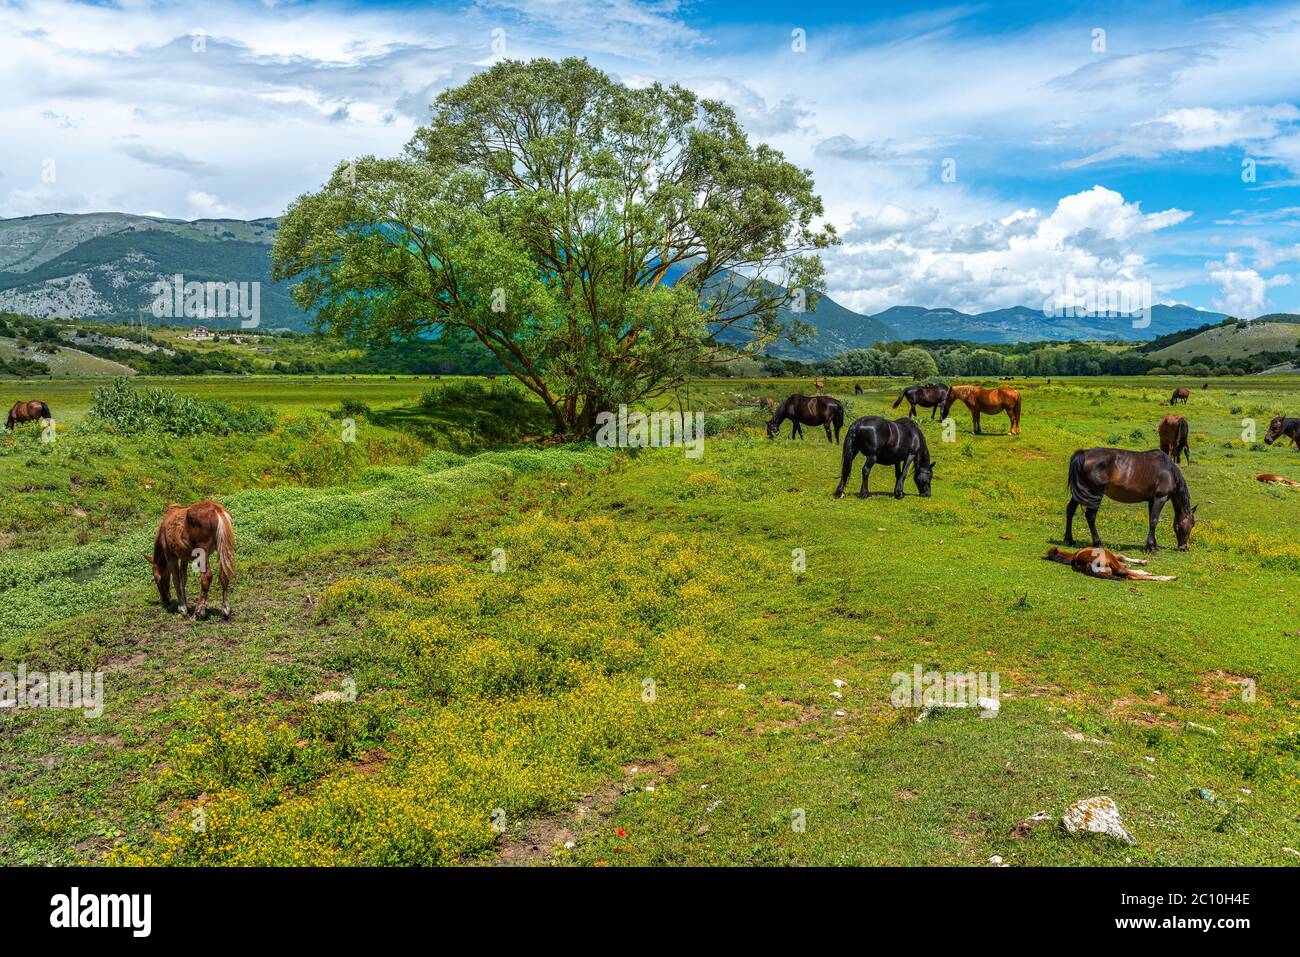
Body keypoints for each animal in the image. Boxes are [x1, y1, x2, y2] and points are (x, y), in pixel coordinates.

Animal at [1045, 546, 1180, 582]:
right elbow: (1122, 557)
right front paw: (1143, 563)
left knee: (1133, 575)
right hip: (1109, 556)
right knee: (1127, 570)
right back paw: (1169, 577)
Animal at [1066, 447, 1196, 553]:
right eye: (1191, 525)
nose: (1184, 548)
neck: (1168, 471)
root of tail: (1083, 454)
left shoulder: (1152, 500)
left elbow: (1151, 520)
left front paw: (1152, 545)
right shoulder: (1160, 498)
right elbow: (1154, 521)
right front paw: (1151, 547)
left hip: (1081, 492)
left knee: (1070, 510)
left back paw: (1070, 540)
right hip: (1095, 494)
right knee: (1090, 516)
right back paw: (1098, 543)